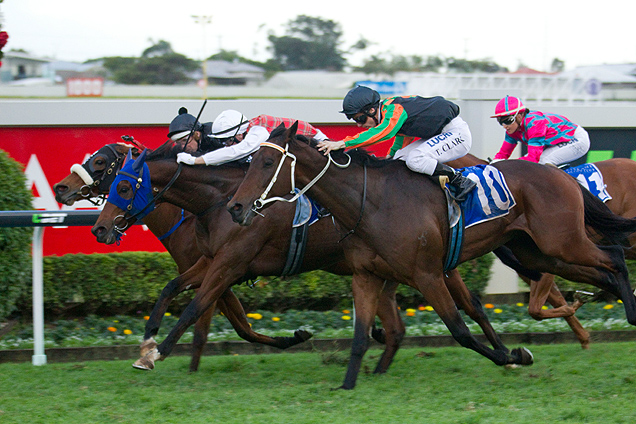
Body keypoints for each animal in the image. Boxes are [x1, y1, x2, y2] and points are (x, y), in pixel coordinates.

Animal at [90, 142, 532, 374]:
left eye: (123, 187)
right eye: (113, 182)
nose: (99, 228)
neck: (219, 199)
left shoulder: (231, 262)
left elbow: (198, 308)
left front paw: (157, 353)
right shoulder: (211, 259)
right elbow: (171, 290)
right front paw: (147, 342)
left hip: (430, 264)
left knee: (470, 306)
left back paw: (509, 355)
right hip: (392, 268)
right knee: (399, 325)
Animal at [229, 121, 636, 388]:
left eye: (267, 163)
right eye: (250, 161)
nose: (235, 208)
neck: (372, 203)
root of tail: (562, 175)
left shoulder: (427, 274)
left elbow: (460, 330)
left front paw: (514, 356)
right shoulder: (367, 276)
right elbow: (360, 335)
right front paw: (347, 385)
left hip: (562, 241)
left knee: (614, 256)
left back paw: (629, 312)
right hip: (542, 253)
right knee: (603, 270)